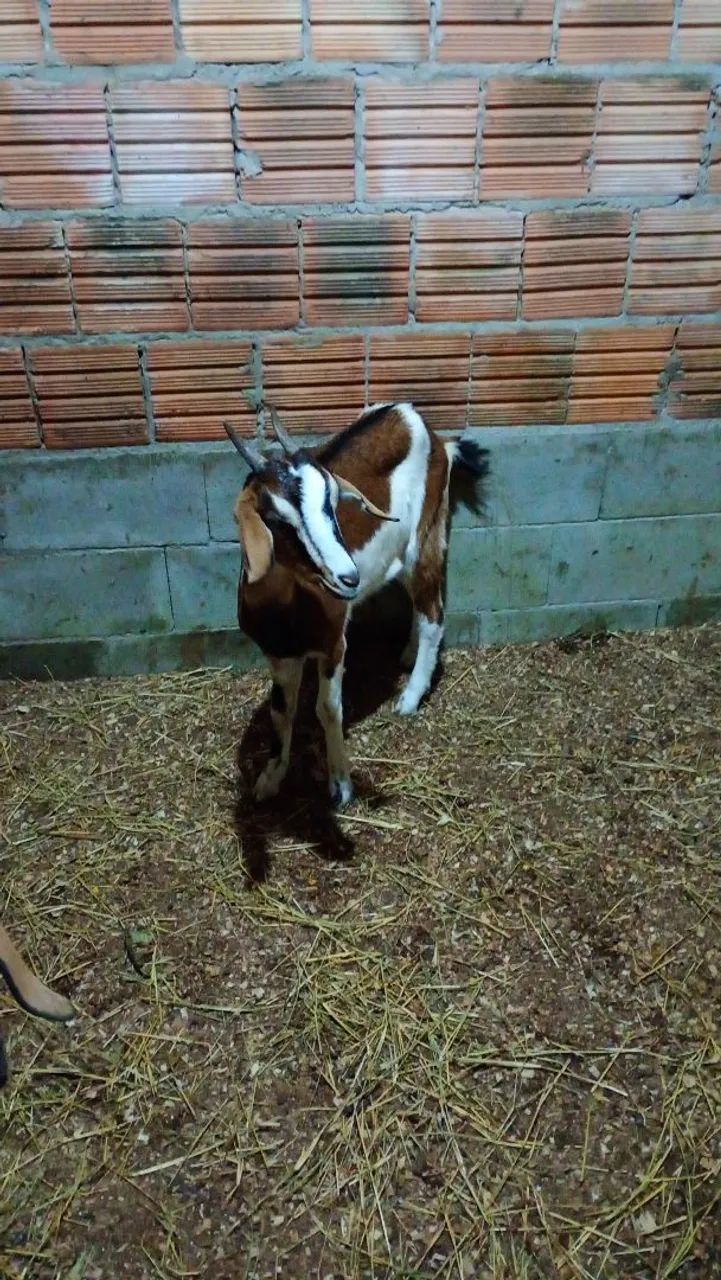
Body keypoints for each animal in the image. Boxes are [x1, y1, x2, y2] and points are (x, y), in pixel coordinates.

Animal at [225, 402, 488, 809]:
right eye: (277, 519)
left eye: (333, 502)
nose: (348, 577)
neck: (287, 612)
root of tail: (425, 427)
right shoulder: (278, 654)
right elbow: (281, 711)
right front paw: (270, 778)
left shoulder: (333, 644)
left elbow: (327, 708)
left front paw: (341, 785)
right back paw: (408, 655)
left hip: (425, 540)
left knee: (433, 615)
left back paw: (411, 696)